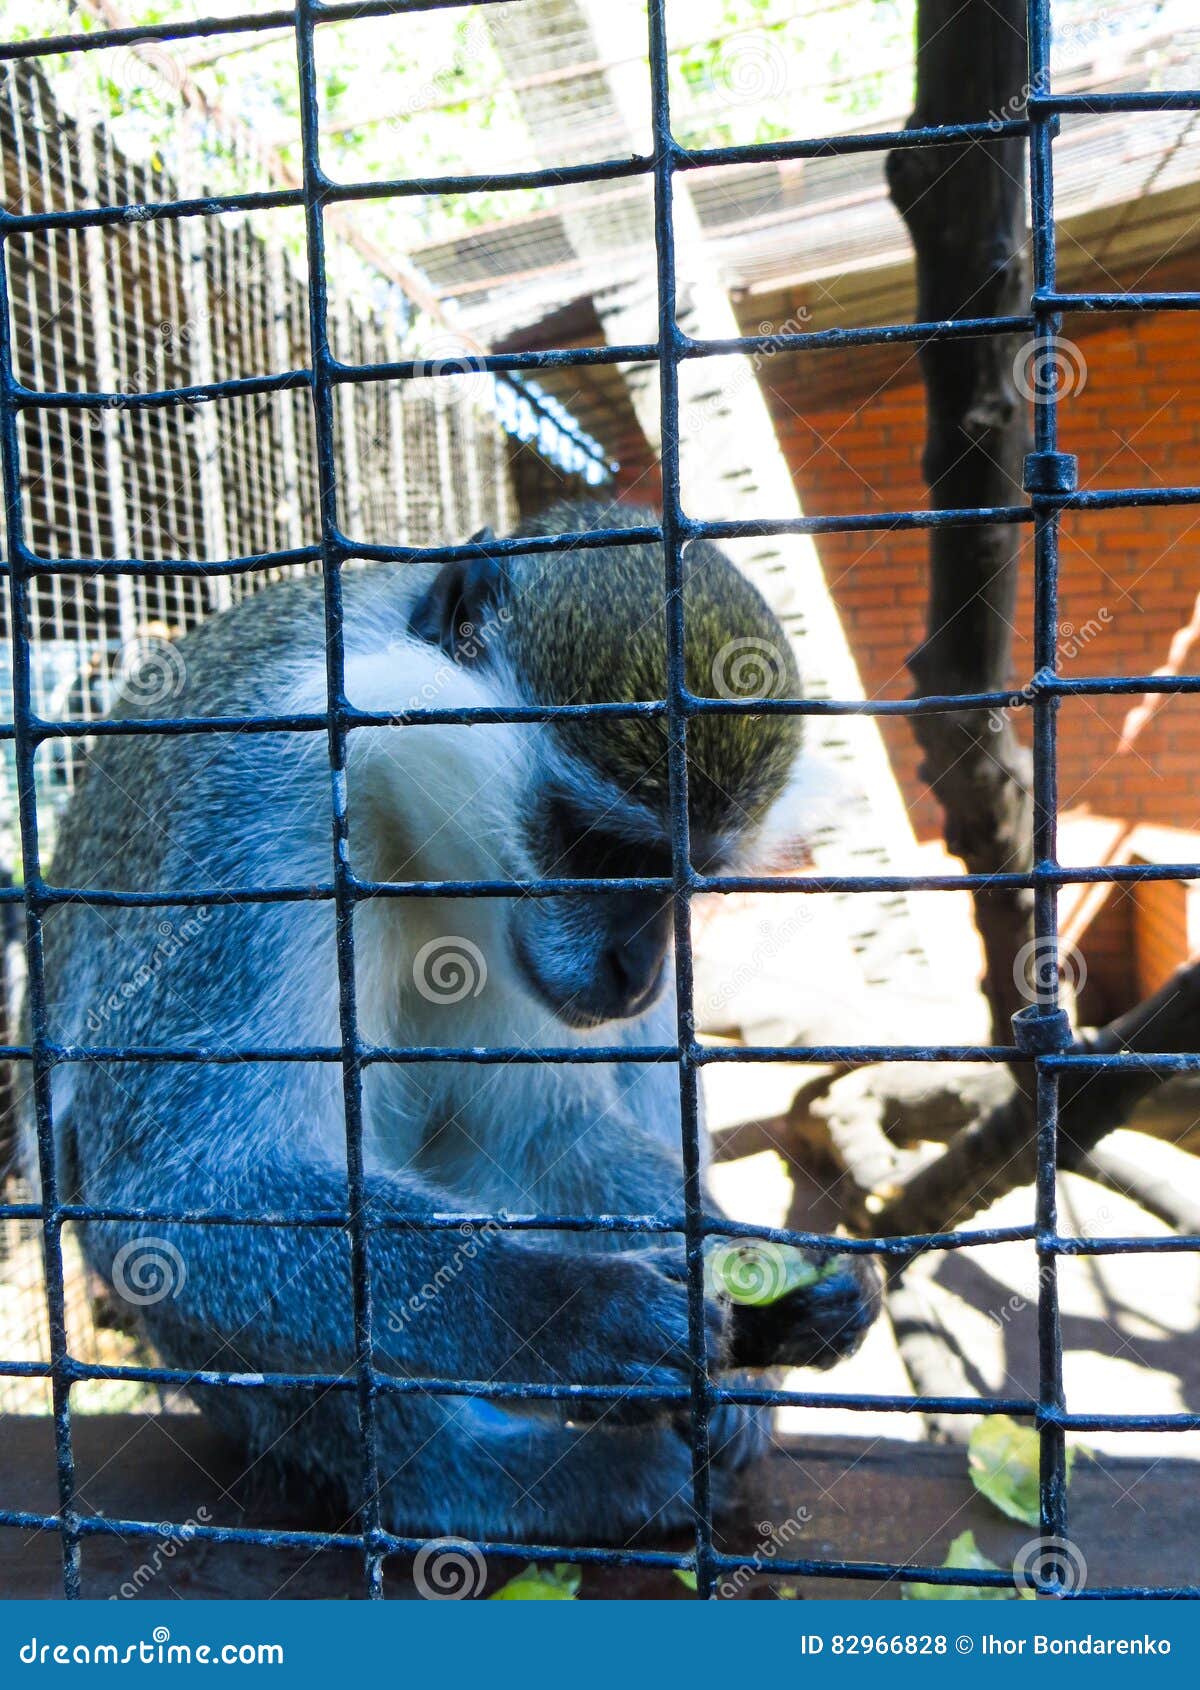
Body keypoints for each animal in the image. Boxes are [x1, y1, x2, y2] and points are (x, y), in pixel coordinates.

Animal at [33, 500, 877, 1544]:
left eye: (690, 876)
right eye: (600, 848)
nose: (638, 972)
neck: (403, 826)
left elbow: (547, 1135)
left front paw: (758, 1277)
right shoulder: (252, 818)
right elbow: (175, 1197)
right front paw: (571, 1314)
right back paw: (502, 1478)